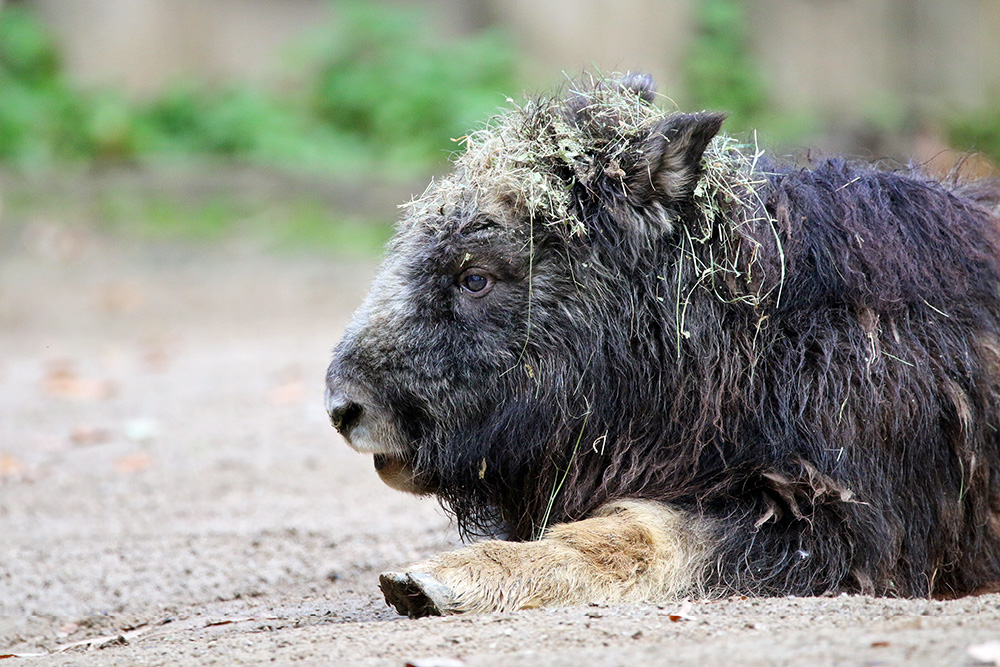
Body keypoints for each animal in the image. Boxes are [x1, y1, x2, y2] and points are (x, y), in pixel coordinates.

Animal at [326, 72, 1000, 616]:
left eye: (475, 277)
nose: (344, 408)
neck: (753, 327)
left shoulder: (840, 522)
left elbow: (648, 532)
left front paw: (443, 579)